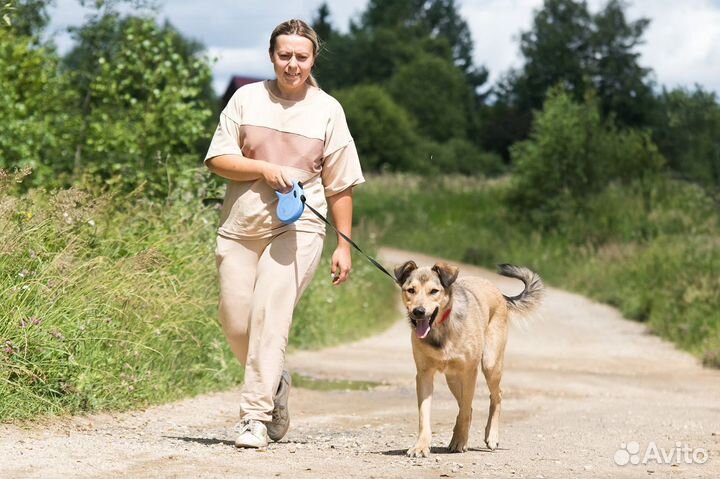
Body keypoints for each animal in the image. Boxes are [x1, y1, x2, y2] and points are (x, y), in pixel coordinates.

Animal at [396, 260, 544, 460]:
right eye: (410, 290)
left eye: (434, 291)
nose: (419, 312)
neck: (441, 328)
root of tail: (499, 292)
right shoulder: (424, 375)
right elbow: (424, 416)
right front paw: (421, 446)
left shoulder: (469, 372)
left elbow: (465, 410)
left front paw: (460, 441)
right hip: (452, 378)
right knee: (468, 405)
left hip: (490, 364)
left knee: (496, 396)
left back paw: (491, 436)